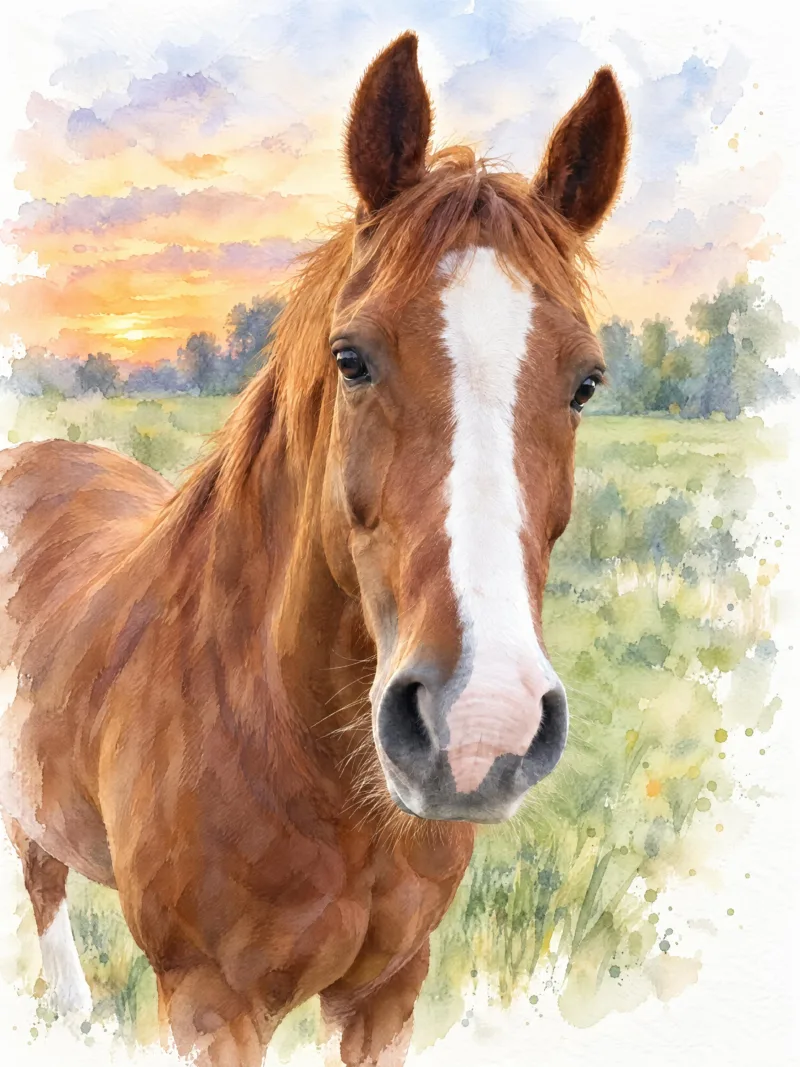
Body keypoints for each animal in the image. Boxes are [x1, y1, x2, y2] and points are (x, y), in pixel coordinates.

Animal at [0, 31, 628, 1067]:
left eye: (585, 383)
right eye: (352, 358)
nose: (480, 728)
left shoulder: (389, 992)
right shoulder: (210, 1003)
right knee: (41, 878)